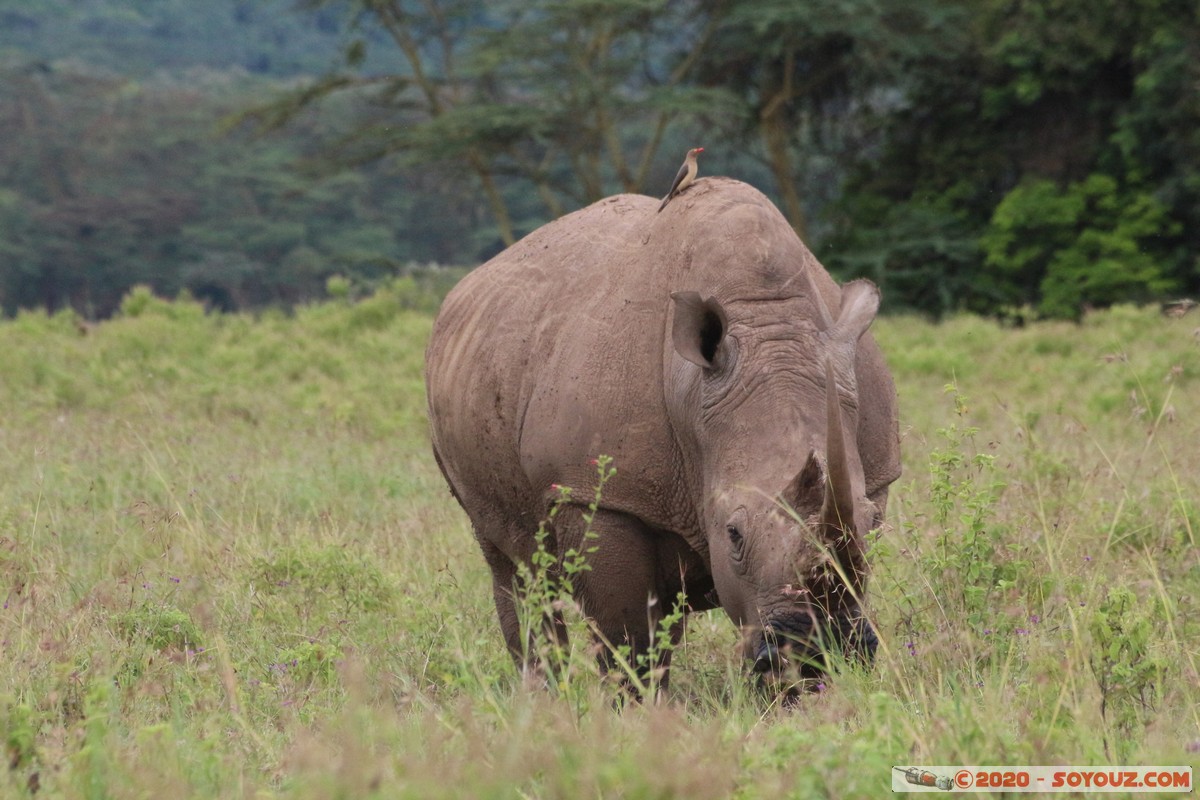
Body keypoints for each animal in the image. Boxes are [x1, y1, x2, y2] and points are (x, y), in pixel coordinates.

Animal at [424, 177, 900, 690]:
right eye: (733, 534)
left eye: (874, 524)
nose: (815, 654)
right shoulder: (598, 492)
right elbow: (627, 638)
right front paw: (638, 706)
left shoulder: (875, 474)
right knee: (514, 568)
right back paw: (545, 695)